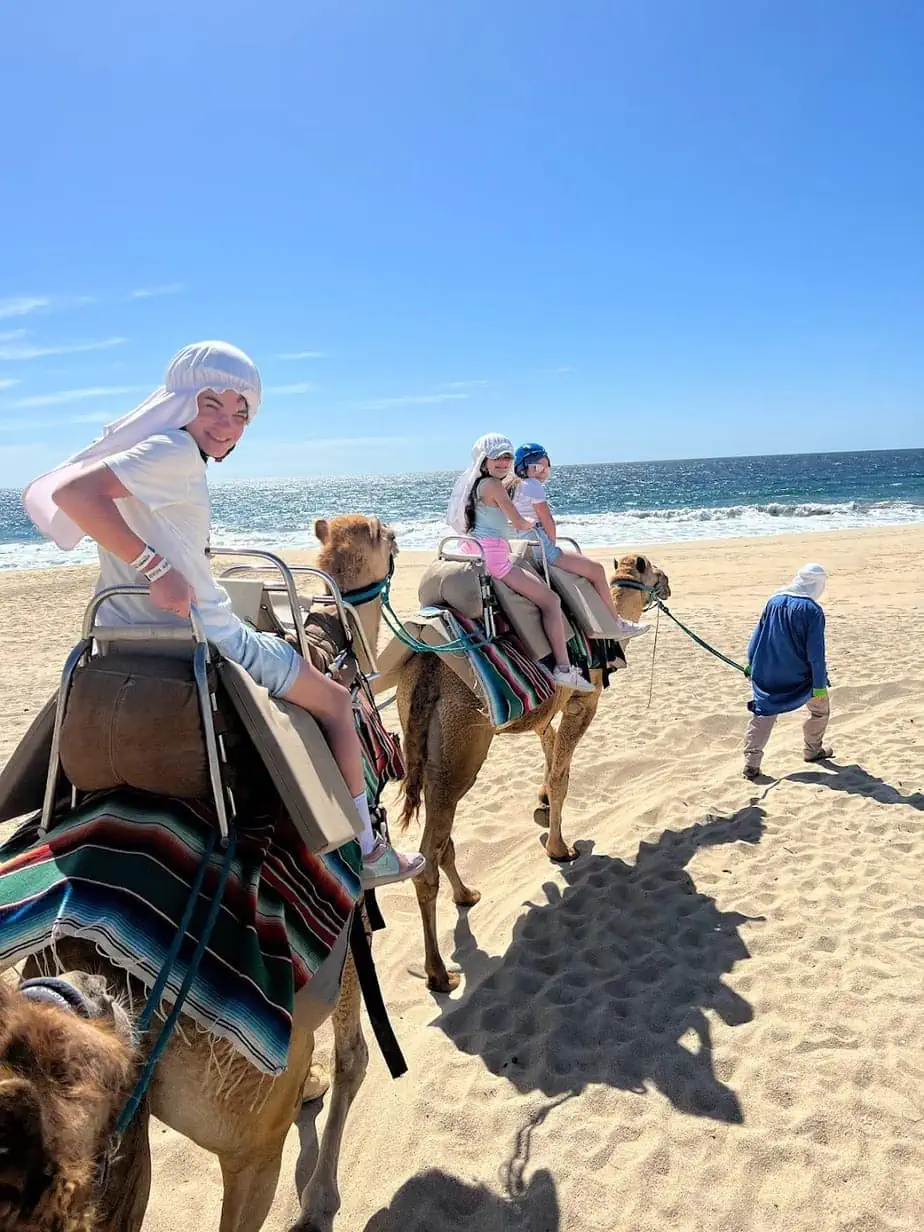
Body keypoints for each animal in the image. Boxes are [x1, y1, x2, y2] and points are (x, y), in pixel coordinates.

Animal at [399, 554, 675, 995]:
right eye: (656, 573)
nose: (668, 583)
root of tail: (426, 667)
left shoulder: (547, 711)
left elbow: (550, 753)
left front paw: (542, 807)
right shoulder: (583, 701)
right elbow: (562, 774)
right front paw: (561, 849)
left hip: (424, 747)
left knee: (439, 838)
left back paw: (467, 895)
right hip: (462, 744)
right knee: (429, 853)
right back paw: (439, 974)